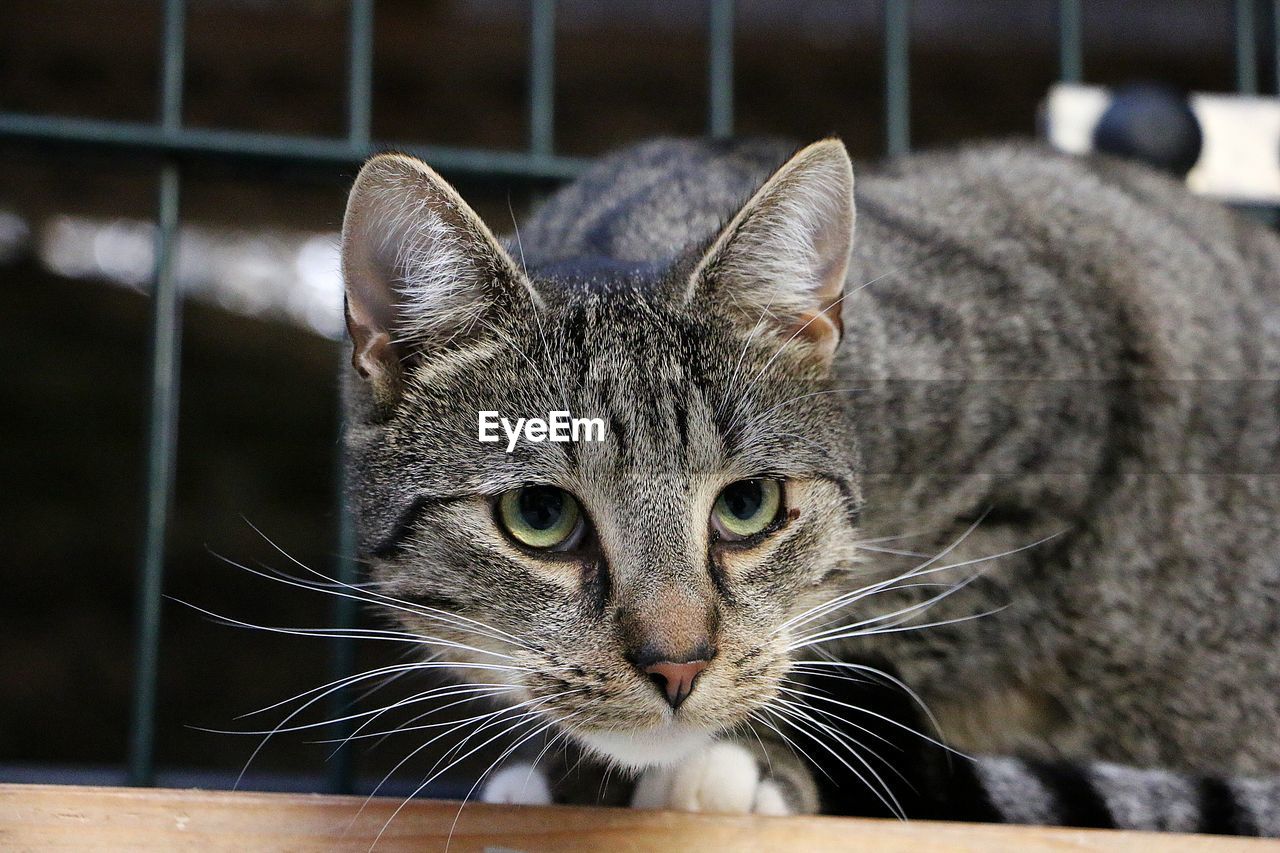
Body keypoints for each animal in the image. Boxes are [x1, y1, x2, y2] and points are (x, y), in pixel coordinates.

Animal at [337, 137, 1280, 829]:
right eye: (539, 514)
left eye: (748, 506)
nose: (677, 666)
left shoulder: (1050, 443)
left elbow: (885, 636)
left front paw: (751, 759)